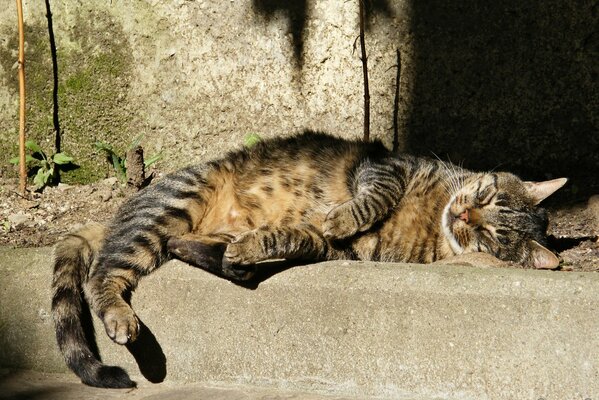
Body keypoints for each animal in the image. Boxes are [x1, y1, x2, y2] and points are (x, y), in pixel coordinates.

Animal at [50, 131, 568, 388]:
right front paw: (344, 215)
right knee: (102, 275)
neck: (432, 220)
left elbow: (292, 236)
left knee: (178, 251)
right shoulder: (387, 166)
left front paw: (265, 243)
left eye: (488, 235)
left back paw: (236, 260)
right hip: (174, 204)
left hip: (186, 227)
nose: (462, 213)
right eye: (484, 195)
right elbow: (376, 195)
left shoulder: (338, 248)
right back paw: (121, 316)